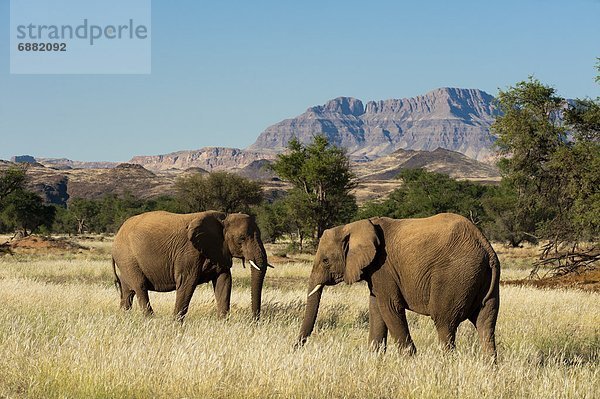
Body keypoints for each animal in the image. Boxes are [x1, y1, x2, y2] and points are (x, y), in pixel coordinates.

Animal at [112, 212, 270, 322]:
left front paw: (223, 323)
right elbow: (187, 283)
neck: (223, 217)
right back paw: (150, 320)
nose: (255, 322)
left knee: (128, 293)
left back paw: (124, 318)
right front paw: (175, 325)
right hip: (128, 257)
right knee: (140, 287)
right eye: (241, 239)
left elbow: (224, 282)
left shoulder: (220, 251)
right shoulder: (189, 253)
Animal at [298, 214, 500, 360]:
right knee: (486, 325)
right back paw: (489, 367)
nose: (296, 347)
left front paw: (410, 360)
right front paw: (374, 359)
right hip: (483, 283)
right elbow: (376, 309)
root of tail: (486, 248)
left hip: (454, 276)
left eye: (325, 261)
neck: (354, 226)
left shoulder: (383, 267)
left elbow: (390, 308)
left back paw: (445, 365)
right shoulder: (376, 272)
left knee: (445, 324)